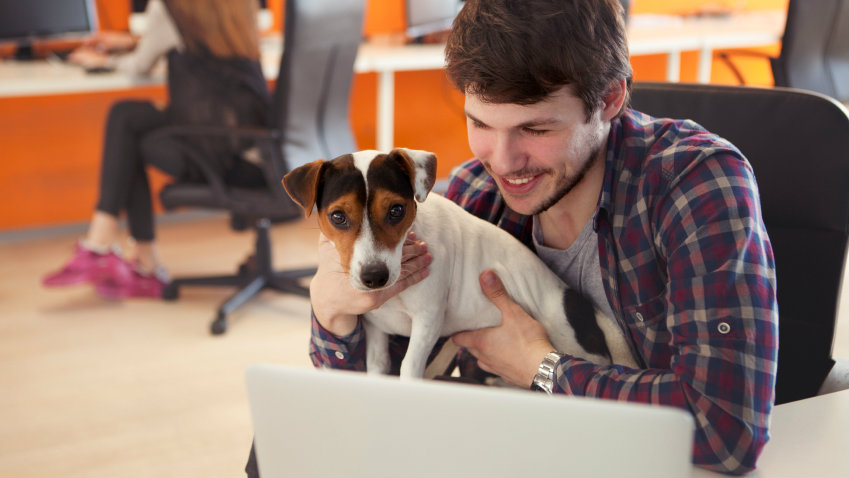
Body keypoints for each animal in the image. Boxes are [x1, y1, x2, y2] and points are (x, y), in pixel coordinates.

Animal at [284, 149, 636, 380]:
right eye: (338, 217)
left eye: (397, 210)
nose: (374, 277)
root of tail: (582, 310)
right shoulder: (375, 329)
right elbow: (379, 366)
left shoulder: (428, 321)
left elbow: (408, 367)